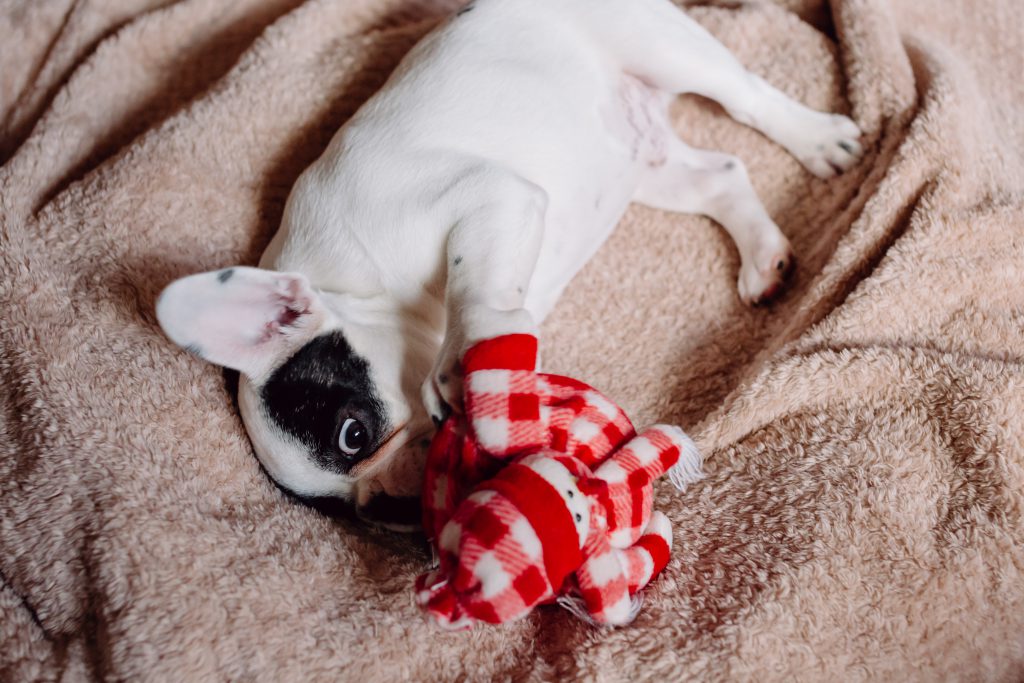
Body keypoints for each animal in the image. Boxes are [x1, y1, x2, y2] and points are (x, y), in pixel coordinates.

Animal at [157, 0, 864, 528]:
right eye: (362, 513)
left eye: (352, 435)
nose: (399, 503)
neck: (352, 282)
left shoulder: (487, 195)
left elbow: (471, 281)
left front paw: (463, 361)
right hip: (646, 168)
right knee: (721, 174)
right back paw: (764, 259)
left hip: (662, 46)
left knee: (745, 96)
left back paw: (818, 139)